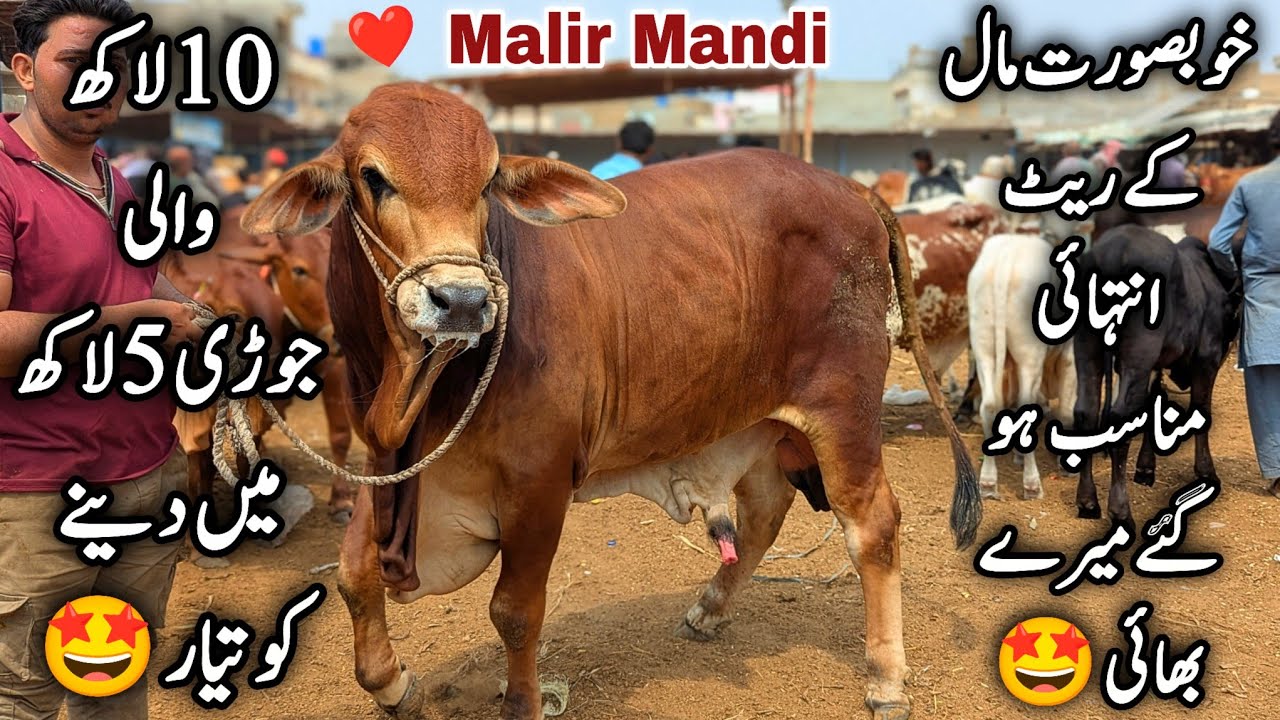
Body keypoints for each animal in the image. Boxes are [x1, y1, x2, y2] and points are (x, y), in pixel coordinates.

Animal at [241, 82, 980, 720]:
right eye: (373, 176)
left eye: (487, 183)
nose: (464, 301)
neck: (417, 390)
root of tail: (851, 187)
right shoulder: (387, 464)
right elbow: (353, 574)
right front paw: (393, 684)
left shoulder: (538, 483)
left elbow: (514, 611)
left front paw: (522, 704)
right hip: (762, 421)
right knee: (765, 512)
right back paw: (710, 609)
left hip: (843, 411)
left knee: (873, 527)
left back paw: (885, 679)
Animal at [1072, 225, 1243, 525]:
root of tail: (1115, 249)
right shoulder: (1206, 361)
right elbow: (1201, 411)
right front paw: (1206, 471)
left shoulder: (1155, 365)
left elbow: (1153, 405)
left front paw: (1145, 468)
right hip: (1137, 354)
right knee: (1119, 419)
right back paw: (1120, 510)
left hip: (1087, 349)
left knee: (1086, 413)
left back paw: (1088, 501)